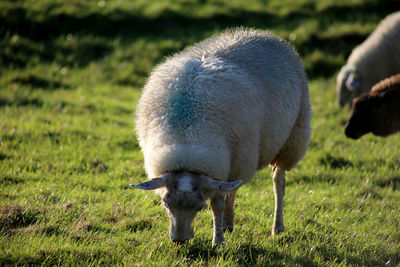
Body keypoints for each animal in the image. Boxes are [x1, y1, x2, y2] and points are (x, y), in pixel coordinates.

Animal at [131, 28, 312, 246]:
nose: (179, 241)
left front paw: (218, 241)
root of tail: (264, 34)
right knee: (234, 189)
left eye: (199, 207)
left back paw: (277, 227)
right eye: (166, 205)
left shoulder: (220, 166)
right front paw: (209, 231)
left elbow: (216, 204)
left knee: (279, 183)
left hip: (290, 140)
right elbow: (224, 194)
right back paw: (228, 222)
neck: (187, 140)